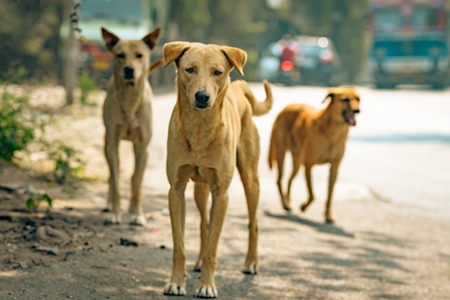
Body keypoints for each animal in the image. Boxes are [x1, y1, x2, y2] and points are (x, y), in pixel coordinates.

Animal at [101, 27, 161, 225]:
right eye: (120, 55)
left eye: (139, 55)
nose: (129, 69)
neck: (129, 101)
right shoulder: (112, 143)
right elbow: (116, 180)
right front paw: (115, 212)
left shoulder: (143, 146)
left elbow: (137, 183)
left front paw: (136, 214)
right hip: (107, 144)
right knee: (112, 176)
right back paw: (110, 204)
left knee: (134, 177)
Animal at [163, 41, 272, 296]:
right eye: (190, 69)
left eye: (217, 72)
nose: (202, 97)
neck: (199, 128)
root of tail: (239, 88)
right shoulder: (176, 189)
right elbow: (179, 245)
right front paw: (177, 282)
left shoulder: (221, 193)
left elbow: (214, 249)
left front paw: (206, 285)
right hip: (200, 189)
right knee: (204, 223)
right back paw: (199, 261)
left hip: (250, 179)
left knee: (253, 222)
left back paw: (251, 263)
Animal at [268, 86, 360, 223]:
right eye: (345, 99)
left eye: (358, 99)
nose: (357, 110)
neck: (332, 132)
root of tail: (285, 108)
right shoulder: (308, 165)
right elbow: (312, 194)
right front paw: (303, 206)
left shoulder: (334, 168)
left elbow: (329, 195)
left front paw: (328, 215)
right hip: (282, 154)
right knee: (279, 180)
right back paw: (285, 204)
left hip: (297, 161)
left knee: (289, 179)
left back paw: (289, 202)